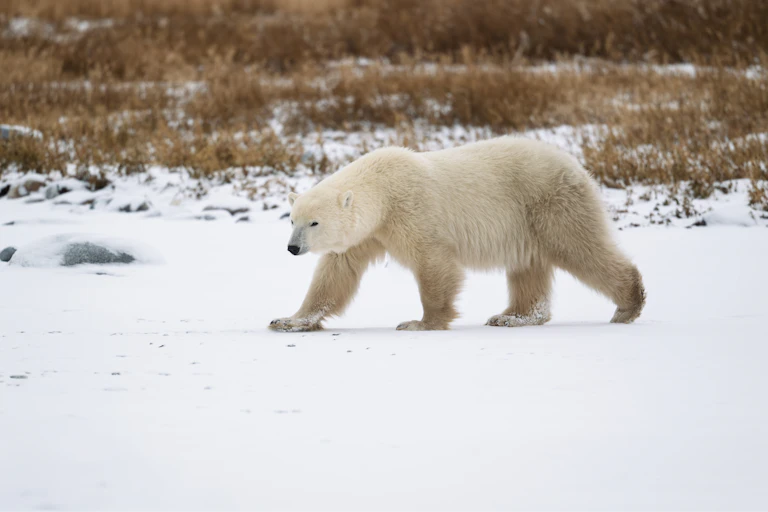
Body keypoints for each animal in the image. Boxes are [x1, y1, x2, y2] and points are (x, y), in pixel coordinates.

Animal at [269, 136, 645, 332]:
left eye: (314, 223)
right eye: (292, 220)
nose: (292, 248)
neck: (384, 190)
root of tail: (576, 165)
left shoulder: (413, 213)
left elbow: (434, 264)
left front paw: (420, 322)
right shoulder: (368, 233)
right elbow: (335, 274)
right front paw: (288, 320)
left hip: (550, 205)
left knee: (581, 249)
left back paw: (628, 305)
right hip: (528, 223)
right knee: (528, 268)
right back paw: (511, 316)